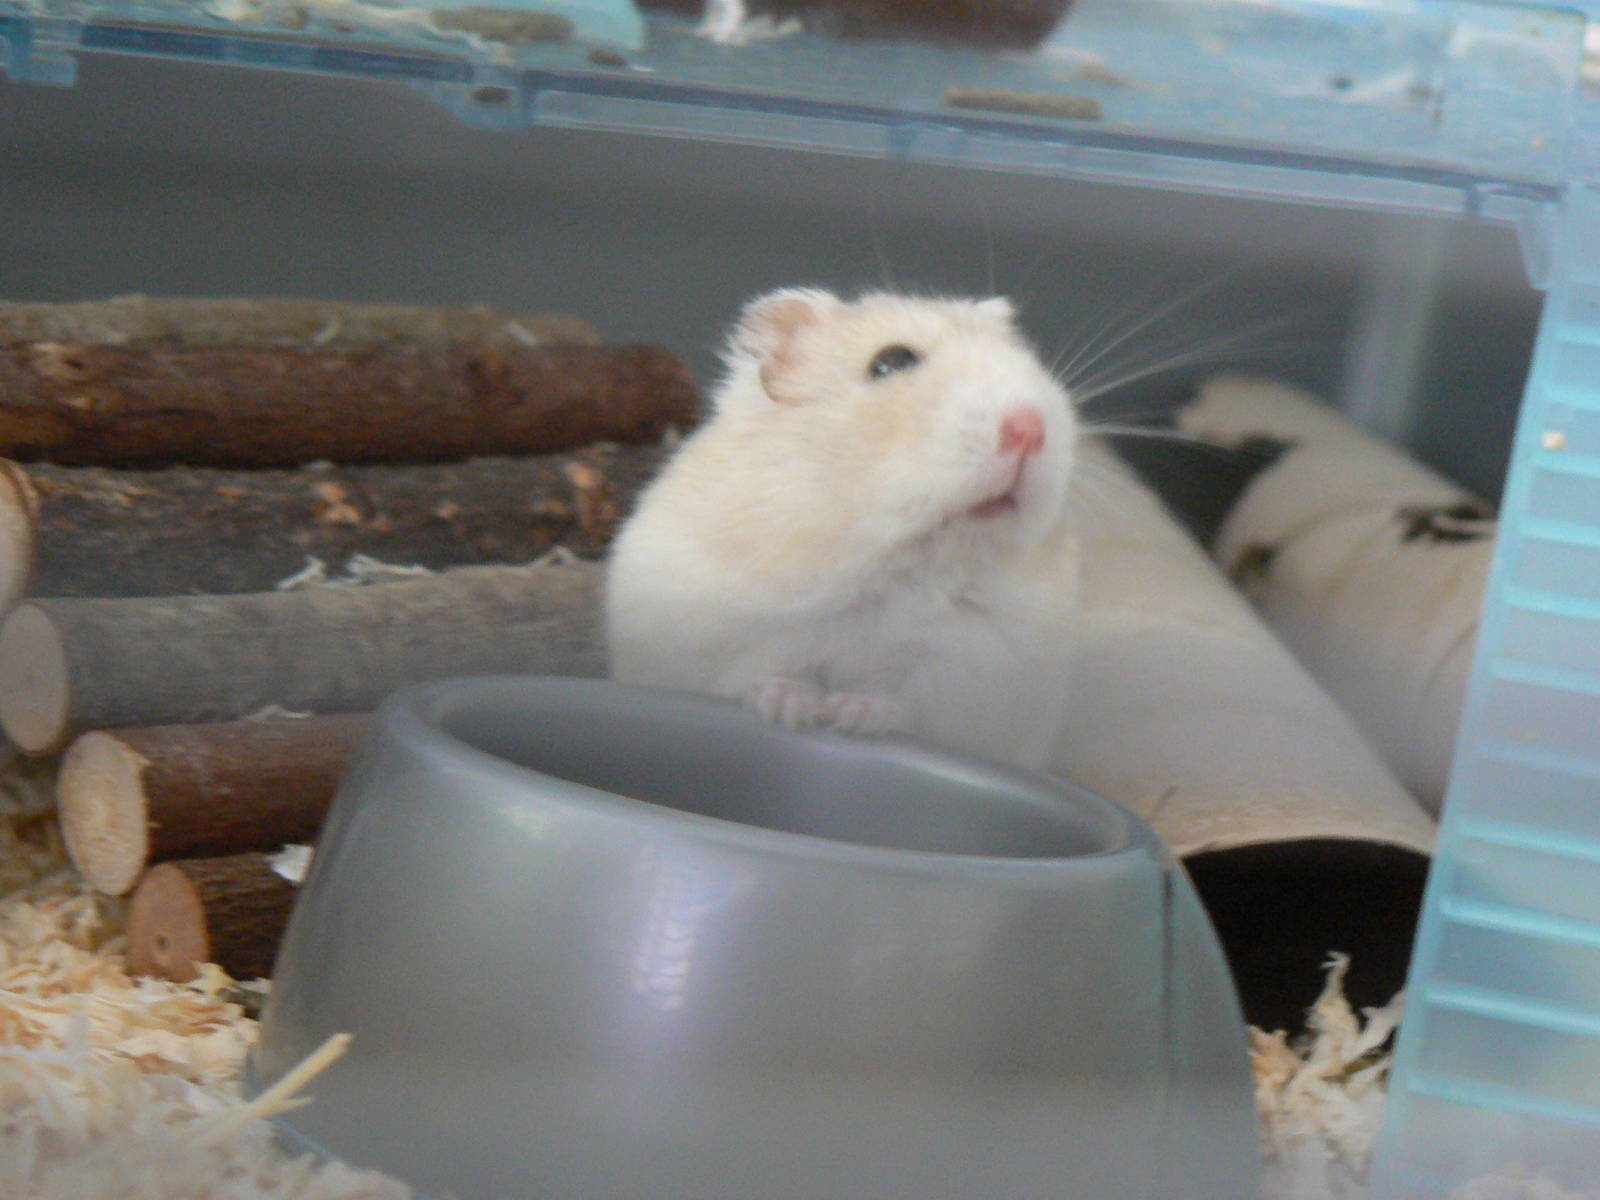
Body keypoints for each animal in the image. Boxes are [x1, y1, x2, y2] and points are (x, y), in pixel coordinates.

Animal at [605, 287, 1081, 770]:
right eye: (891, 361)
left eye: (1027, 359)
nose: (1030, 428)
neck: (897, 562)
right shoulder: (718, 630)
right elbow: (754, 670)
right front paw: (791, 709)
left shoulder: (969, 677)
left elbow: (904, 697)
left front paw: (853, 716)